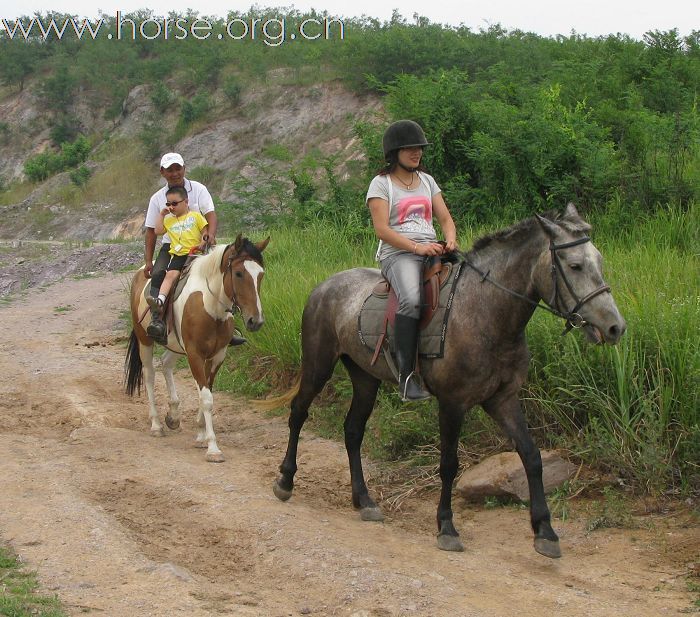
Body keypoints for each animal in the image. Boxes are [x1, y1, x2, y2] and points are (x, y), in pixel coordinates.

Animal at [126, 236, 268, 462]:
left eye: (261, 274)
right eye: (238, 273)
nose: (256, 321)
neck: (210, 307)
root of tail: (142, 271)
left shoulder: (217, 356)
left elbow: (207, 391)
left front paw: (201, 435)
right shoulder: (195, 355)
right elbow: (206, 398)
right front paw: (213, 448)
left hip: (175, 344)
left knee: (166, 363)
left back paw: (173, 416)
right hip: (144, 340)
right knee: (149, 374)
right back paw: (156, 425)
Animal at [266, 203, 628, 560]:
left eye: (599, 262)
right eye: (575, 265)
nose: (615, 327)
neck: (485, 312)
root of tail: (324, 286)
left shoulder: (503, 399)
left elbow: (531, 455)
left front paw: (545, 531)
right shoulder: (453, 403)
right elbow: (449, 464)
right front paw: (447, 528)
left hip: (365, 378)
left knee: (353, 431)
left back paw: (364, 501)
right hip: (318, 366)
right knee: (298, 412)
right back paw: (285, 481)